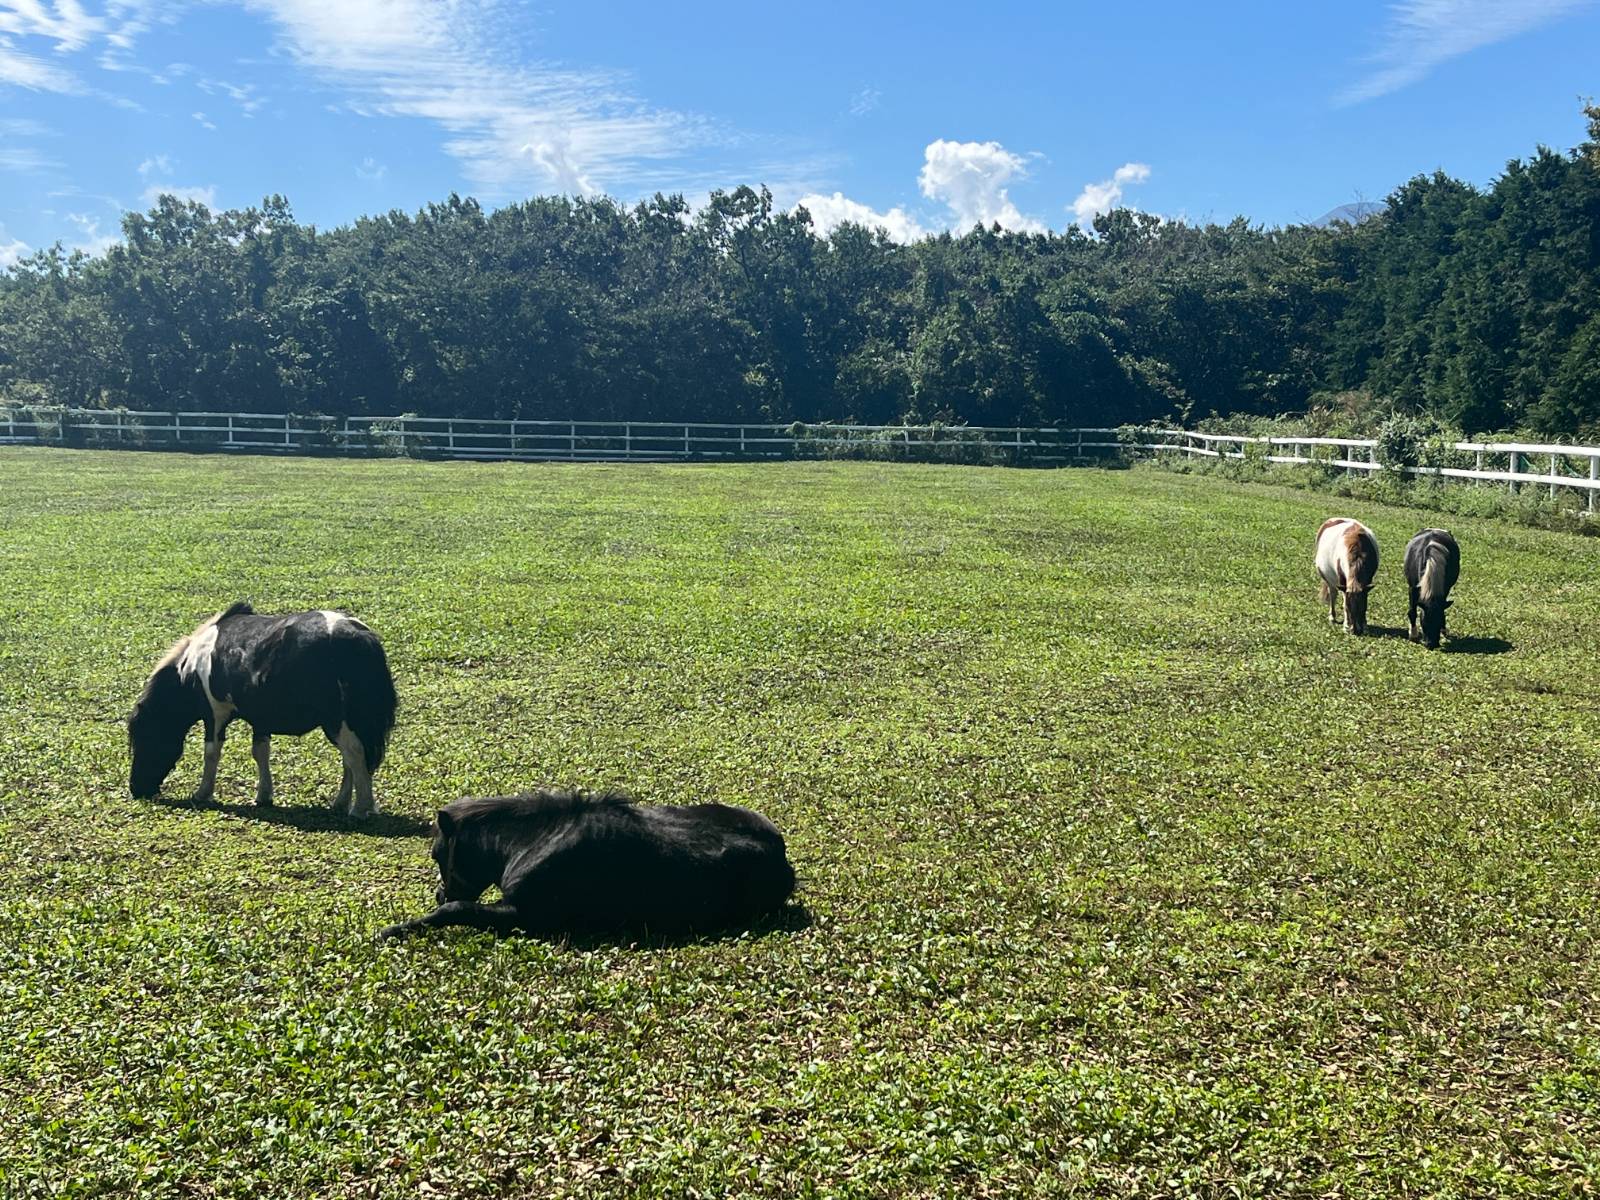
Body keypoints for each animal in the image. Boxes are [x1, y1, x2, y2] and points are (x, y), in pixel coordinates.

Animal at [127, 601, 396, 819]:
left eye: (144, 738)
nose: (136, 789)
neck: (193, 666)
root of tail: (359, 636)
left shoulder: (215, 714)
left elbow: (212, 753)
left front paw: (203, 793)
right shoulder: (260, 718)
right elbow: (261, 752)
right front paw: (264, 796)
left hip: (338, 721)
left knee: (355, 754)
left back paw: (359, 809)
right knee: (350, 759)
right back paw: (340, 804)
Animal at [376, 793, 800, 947]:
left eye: (437, 855)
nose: (439, 892)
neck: (531, 839)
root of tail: (782, 855)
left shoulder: (526, 915)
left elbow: (459, 910)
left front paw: (394, 929)